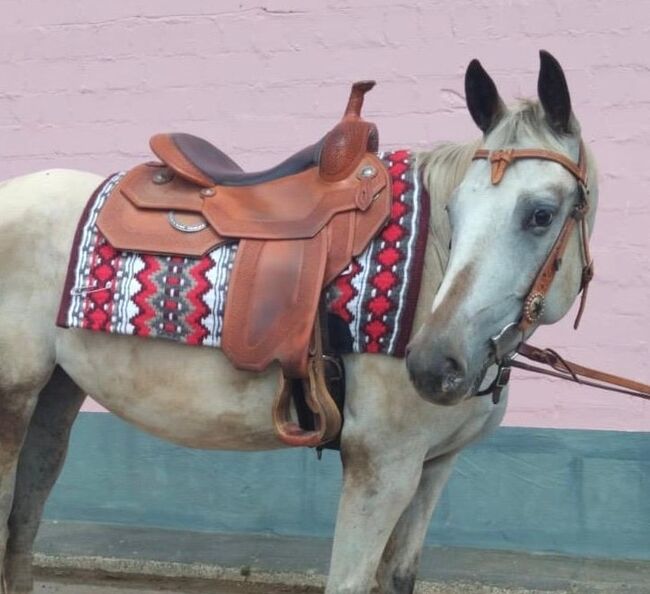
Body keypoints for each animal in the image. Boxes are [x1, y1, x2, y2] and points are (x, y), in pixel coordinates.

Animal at [0, 51, 596, 592]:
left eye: (540, 215)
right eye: (453, 211)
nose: (433, 365)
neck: (427, 278)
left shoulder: (434, 467)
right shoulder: (380, 467)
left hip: (55, 394)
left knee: (24, 519)